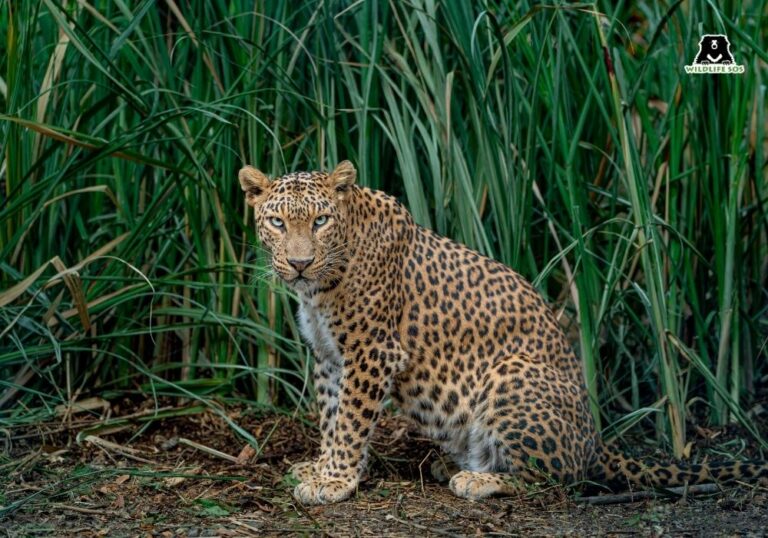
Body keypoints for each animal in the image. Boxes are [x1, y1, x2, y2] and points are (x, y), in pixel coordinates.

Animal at [238, 160, 768, 505]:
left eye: (321, 220)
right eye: (277, 222)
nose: (300, 262)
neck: (321, 286)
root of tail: (596, 442)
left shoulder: (373, 351)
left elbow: (350, 420)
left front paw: (335, 481)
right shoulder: (330, 356)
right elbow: (331, 415)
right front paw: (323, 467)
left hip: (511, 376)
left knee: (559, 480)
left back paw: (478, 481)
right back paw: (458, 465)